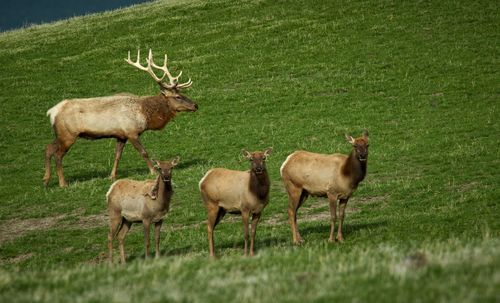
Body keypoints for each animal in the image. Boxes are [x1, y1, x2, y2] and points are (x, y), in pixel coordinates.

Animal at [43, 50, 197, 188]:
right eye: (177, 96)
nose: (195, 105)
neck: (144, 114)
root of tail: (52, 112)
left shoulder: (121, 135)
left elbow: (117, 155)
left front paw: (112, 176)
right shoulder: (131, 132)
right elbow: (144, 152)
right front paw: (153, 171)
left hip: (61, 134)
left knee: (48, 148)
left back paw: (46, 180)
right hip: (68, 135)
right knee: (58, 155)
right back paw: (63, 183)